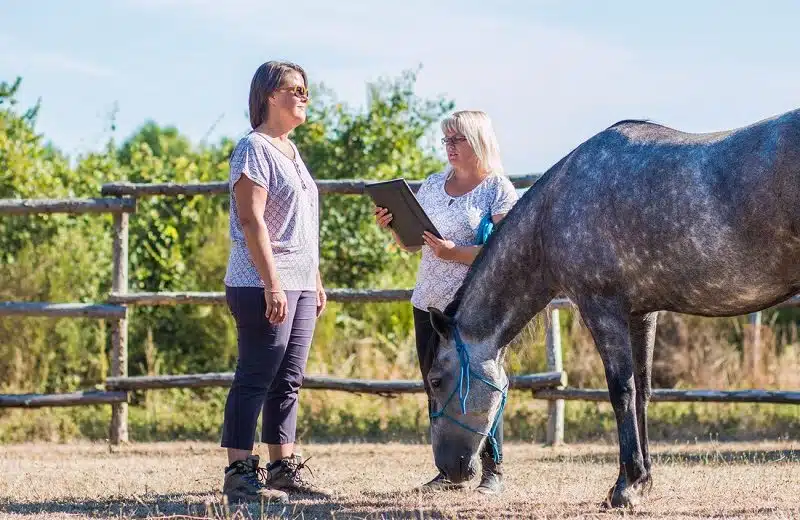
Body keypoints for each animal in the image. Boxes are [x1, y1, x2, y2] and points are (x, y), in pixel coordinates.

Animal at [424, 108, 800, 508]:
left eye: (435, 379)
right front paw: (643, 480)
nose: (449, 470)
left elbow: (621, 392)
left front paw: (624, 487)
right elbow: (643, 392)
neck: (551, 214)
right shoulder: (642, 314)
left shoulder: (602, 309)